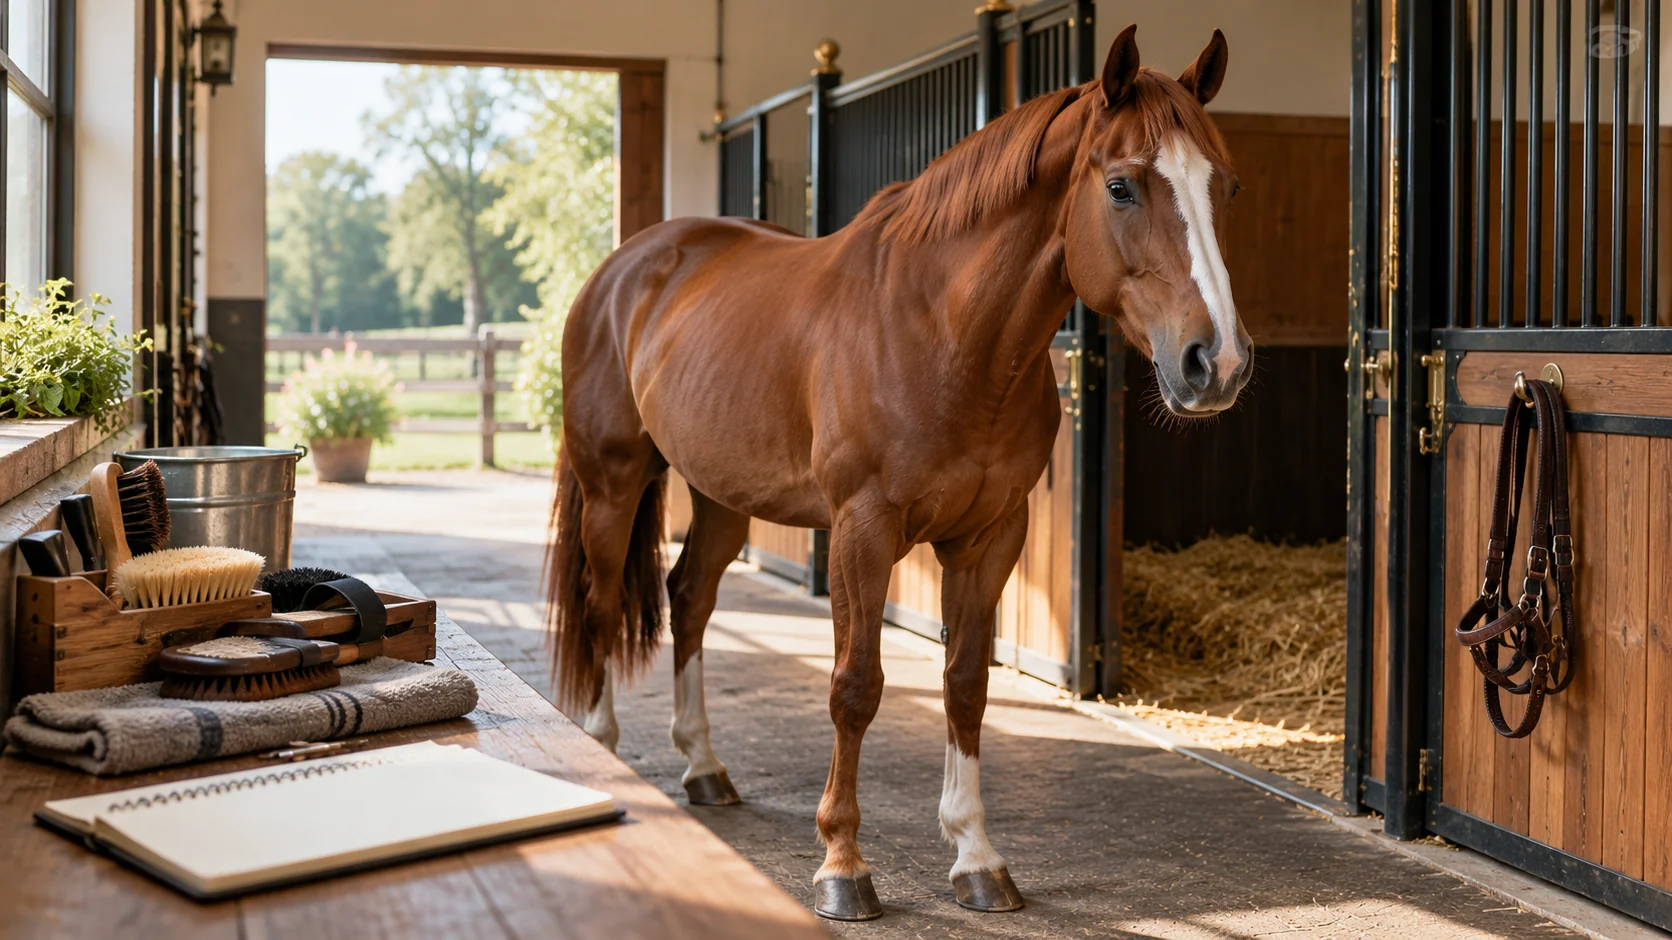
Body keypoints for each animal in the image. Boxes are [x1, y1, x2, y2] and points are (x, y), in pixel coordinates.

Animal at [544, 24, 1250, 921]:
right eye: (1122, 186)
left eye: (1225, 186)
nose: (1216, 363)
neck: (945, 334)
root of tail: (625, 269)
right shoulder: (863, 530)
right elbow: (856, 685)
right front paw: (843, 868)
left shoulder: (992, 536)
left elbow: (965, 683)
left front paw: (977, 856)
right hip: (614, 479)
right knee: (602, 607)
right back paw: (601, 743)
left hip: (720, 495)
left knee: (690, 598)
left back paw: (704, 766)